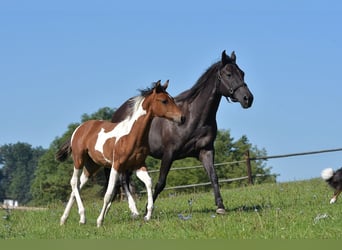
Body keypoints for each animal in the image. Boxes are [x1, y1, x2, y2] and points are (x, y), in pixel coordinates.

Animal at [56, 81, 184, 228]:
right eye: (164, 101)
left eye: (172, 99)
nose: (182, 118)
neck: (132, 135)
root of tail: (78, 129)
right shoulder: (116, 165)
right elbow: (109, 193)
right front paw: (100, 221)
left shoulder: (139, 165)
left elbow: (149, 182)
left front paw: (148, 215)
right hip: (79, 159)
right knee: (73, 182)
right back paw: (81, 216)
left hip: (92, 166)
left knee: (78, 185)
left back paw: (66, 219)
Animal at [109, 51, 254, 215]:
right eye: (229, 74)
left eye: (242, 73)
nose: (248, 98)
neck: (193, 118)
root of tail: (117, 113)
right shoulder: (169, 153)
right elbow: (161, 182)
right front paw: (148, 208)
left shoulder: (206, 151)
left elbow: (214, 177)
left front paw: (220, 206)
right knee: (122, 180)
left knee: (125, 180)